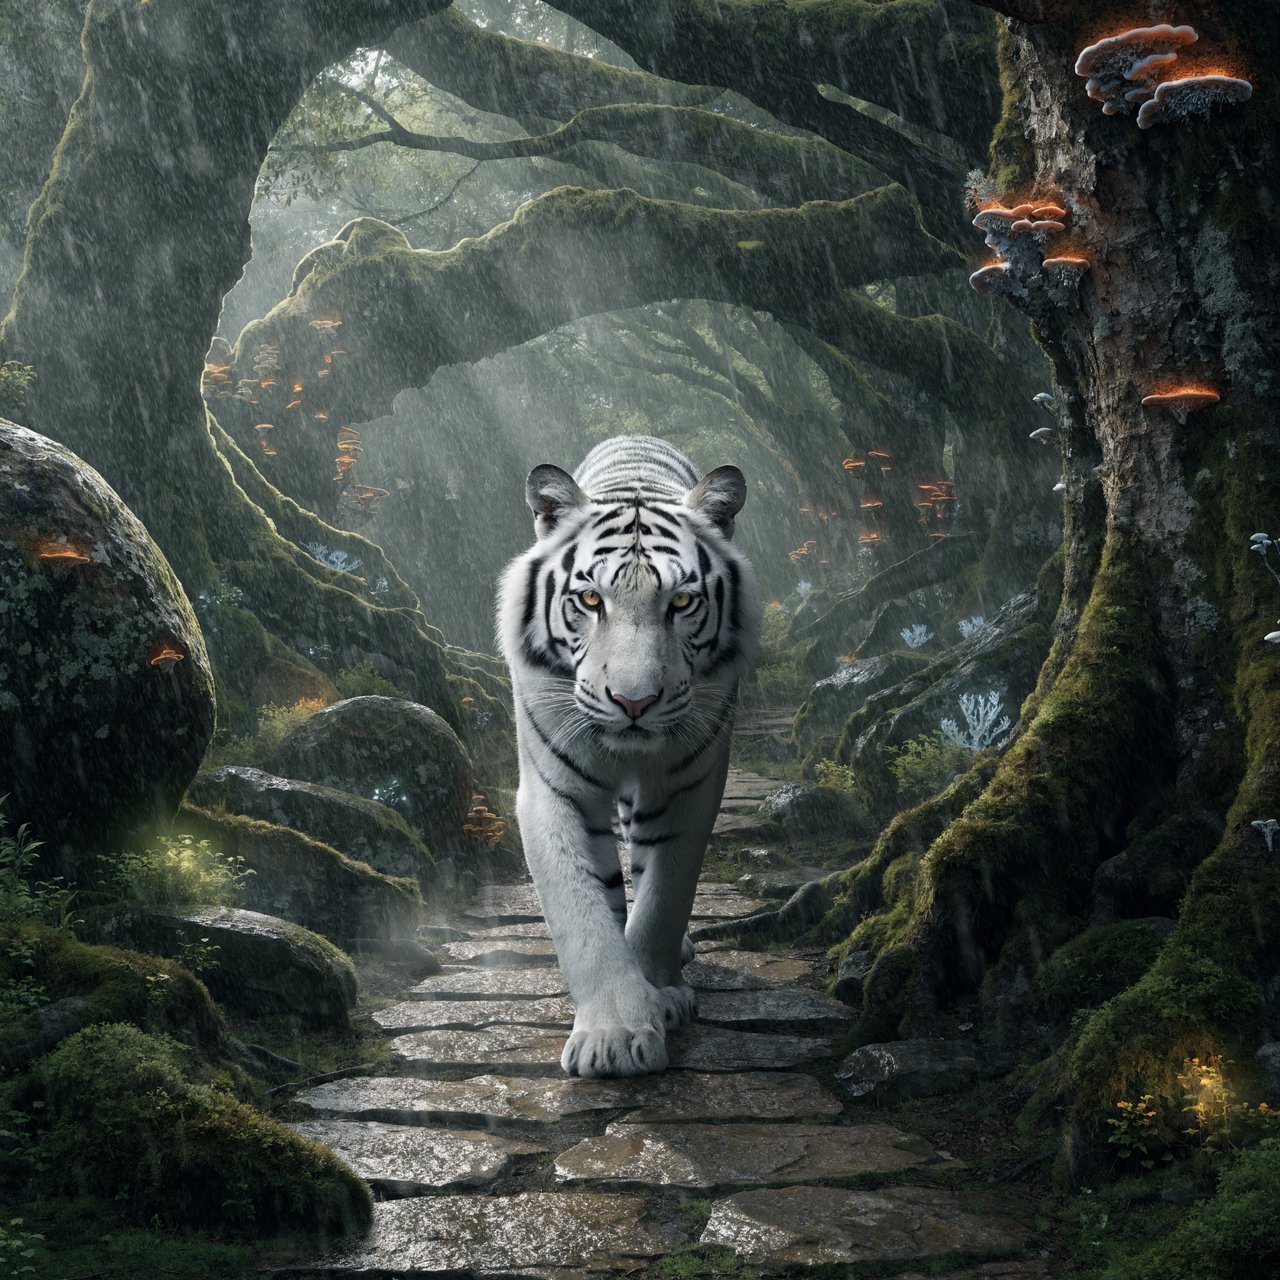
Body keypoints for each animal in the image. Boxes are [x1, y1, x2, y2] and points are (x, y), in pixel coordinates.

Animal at [497, 435, 761, 1077]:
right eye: (591, 598)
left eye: (682, 601)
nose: (634, 702)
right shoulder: (553, 790)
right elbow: (582, 912)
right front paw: (613, 1035)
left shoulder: (690, 786)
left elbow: (665, 895)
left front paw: (657, 997)